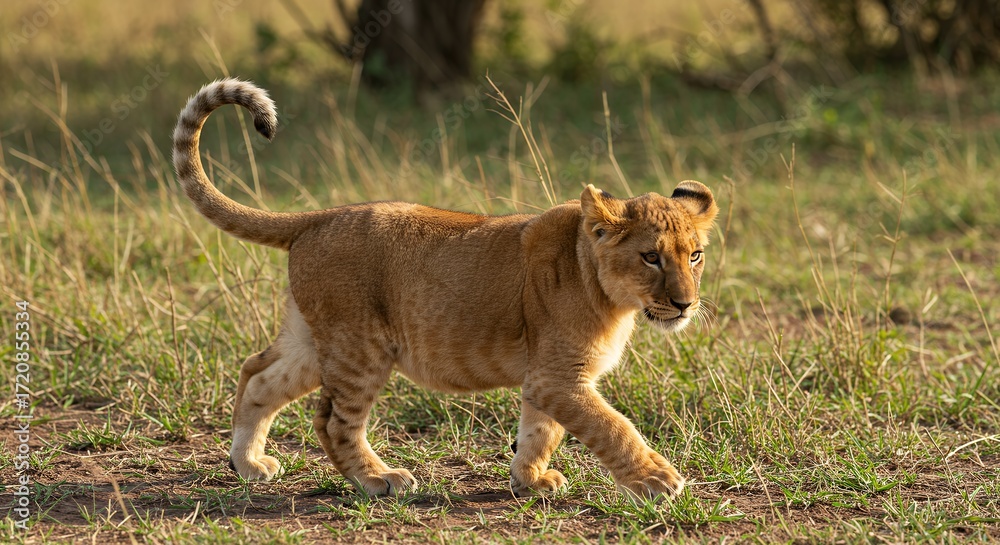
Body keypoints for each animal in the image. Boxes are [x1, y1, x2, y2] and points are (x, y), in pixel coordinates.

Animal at [172, 79, 718, 499]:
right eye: (650, 257)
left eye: (694, 255)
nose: (685, 304)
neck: (609, 293)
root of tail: (320, 216)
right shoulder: (559, 376)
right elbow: (612, 426)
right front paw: (657, 479)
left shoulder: (546, 379)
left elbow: (540, 430)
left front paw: (530, 480)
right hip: (360, 347)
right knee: (332, 420)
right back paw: (379, 480)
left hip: (314, 338)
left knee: (260, 375)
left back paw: (248, 463)